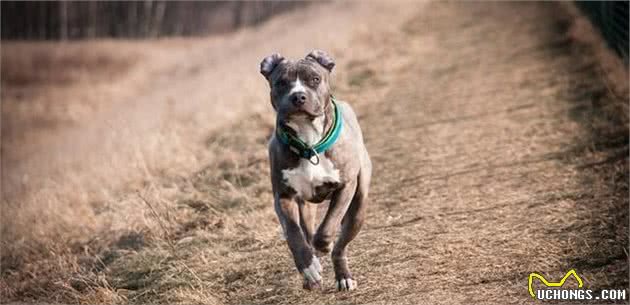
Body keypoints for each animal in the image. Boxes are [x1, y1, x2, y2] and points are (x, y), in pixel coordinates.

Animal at [260, 49, 372, 290]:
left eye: (315, 79)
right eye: (281, 82)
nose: (298, 96)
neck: (309, 142)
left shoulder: (345, 187)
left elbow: (329, 225)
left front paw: (324, 245)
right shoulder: (283, 197)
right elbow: (293, 233)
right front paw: (308, 267)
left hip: (359, 206)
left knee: (340, 246)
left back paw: (343, 276)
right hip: (306, 206)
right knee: (307, 231)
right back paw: (311, 275)